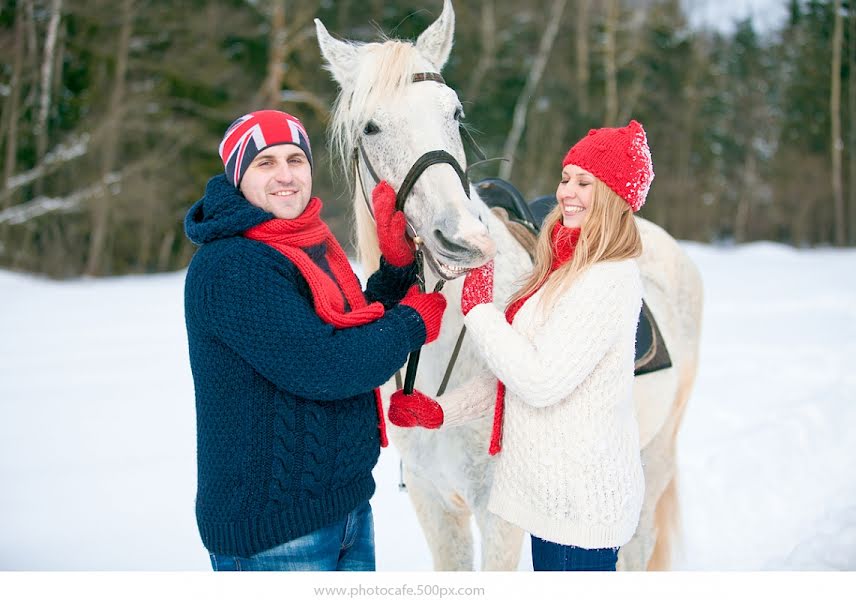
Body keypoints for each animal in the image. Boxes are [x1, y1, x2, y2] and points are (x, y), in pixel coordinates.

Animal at [314, 1, 704, 572]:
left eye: (454, 113)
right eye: (371, 127)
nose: (462, 238)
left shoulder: (498, 515)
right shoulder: (434, 503)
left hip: (655, 457)